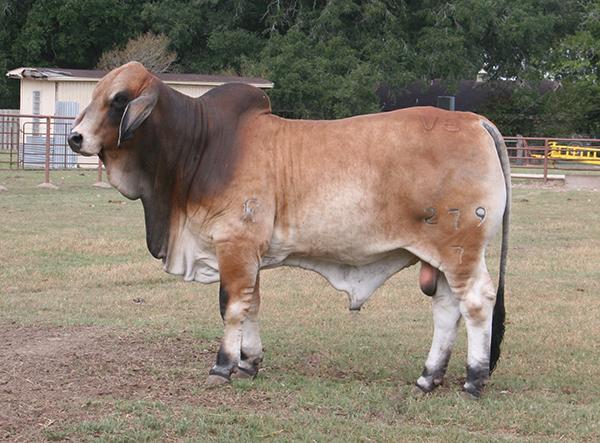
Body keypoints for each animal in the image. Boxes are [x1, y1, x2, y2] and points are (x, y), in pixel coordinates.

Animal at [70, 62, 510, 398]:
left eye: (119, 100)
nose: (74, 137)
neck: (202, 145)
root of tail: (474, 120)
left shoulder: (235, 244)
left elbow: (231, 306)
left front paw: (222, 366)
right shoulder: (247, 254)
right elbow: (252, 304)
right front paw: (249, 363)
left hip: (461, 252)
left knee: (476, 303)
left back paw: (473, 381)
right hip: (441, 257)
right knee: (446, 309)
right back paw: (428, 377)